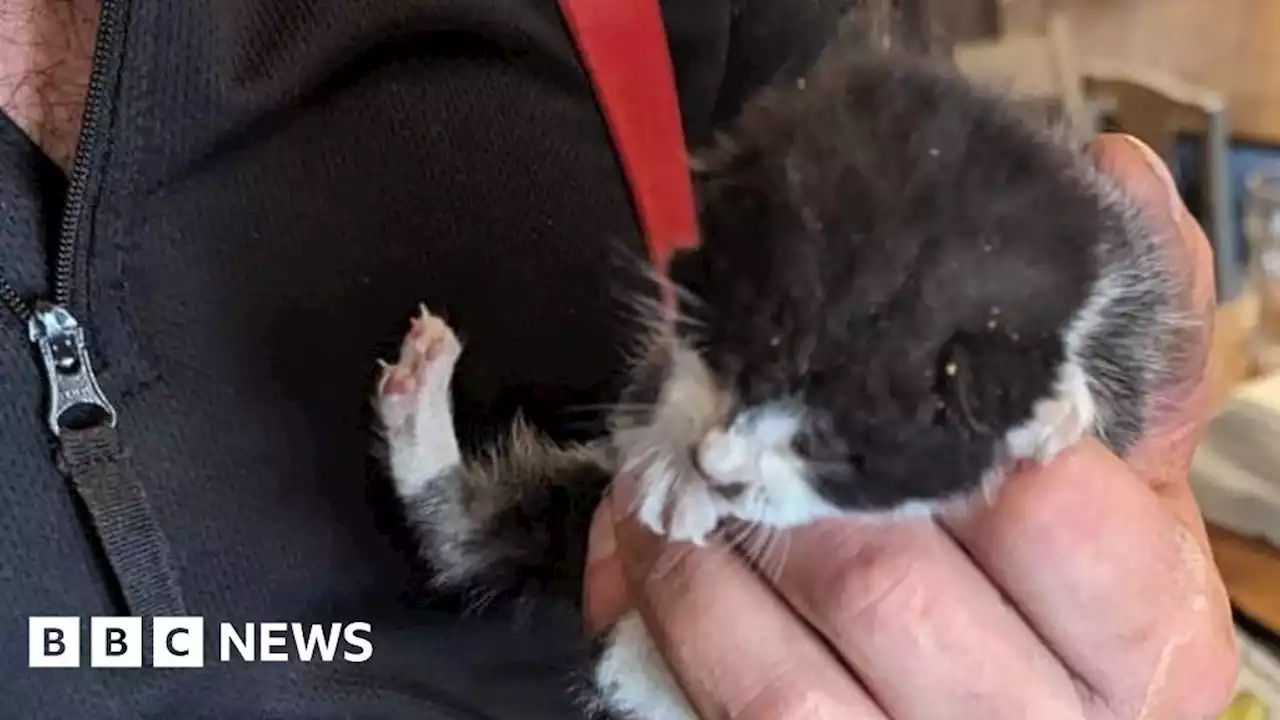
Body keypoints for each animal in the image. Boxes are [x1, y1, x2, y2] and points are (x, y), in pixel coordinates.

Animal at [371, 40, 1187, 717]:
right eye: (734, 354)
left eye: (843, 446)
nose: (717, 467)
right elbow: (656, 381)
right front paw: (676, 465)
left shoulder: (1130, 299)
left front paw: (1059, 407)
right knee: (461, 534)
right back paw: (419, 400)